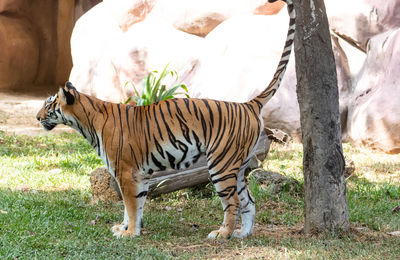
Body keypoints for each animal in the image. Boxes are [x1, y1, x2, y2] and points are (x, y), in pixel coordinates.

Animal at [36, 0, 296, 239]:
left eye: (49, 105)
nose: (37, 117)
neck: (87, 122)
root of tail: (248, 103)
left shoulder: (125, 172)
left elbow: (130, 205)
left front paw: (129, 233)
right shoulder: (140, 175)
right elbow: (136, 206)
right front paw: (128, 229)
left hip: (221, 164)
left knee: (233, 201)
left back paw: (223, 234)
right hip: (239, 166)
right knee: (249, 200)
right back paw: (243, 234)